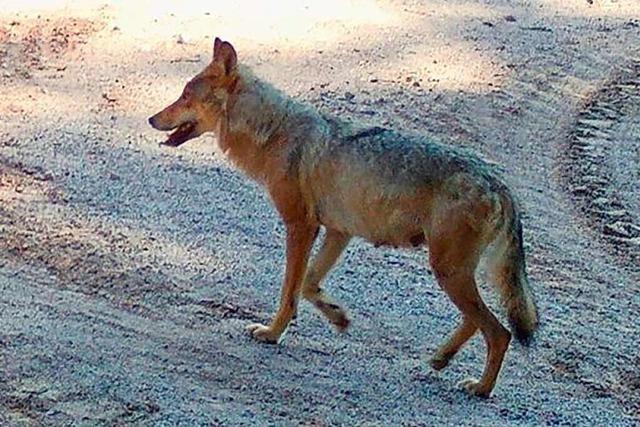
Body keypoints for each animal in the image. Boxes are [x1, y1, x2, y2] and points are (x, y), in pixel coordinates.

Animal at [150, 37, 540, 398]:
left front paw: (273, 333)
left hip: (448, 272)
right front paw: (337, 315)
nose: (151, 119)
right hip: (452, 274)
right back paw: (441, 359)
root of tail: (498, 183)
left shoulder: (301, 226)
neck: (273, 132)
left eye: (185, 96)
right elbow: (308, 284)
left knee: (500, 332)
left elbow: (289, 291)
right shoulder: (338, 231)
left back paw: (481, 388)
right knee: (478, 323)